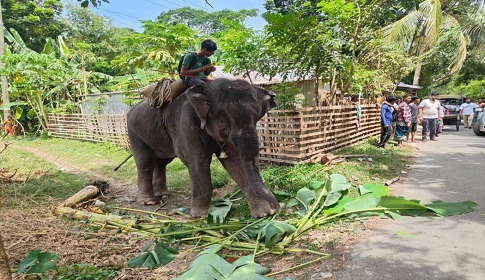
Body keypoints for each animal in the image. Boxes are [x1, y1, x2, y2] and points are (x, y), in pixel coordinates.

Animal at [126, 77, 280, 218]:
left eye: (257, 115)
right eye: (223, 117)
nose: (276, 208)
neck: (205, 89)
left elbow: (235, 161)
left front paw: (263, 213)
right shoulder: (185, 124)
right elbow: (198, 161)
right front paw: (201, 216)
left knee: (162, 162)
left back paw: (163, 195)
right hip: (134, 133)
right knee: (145, 162)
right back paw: (148, 202)